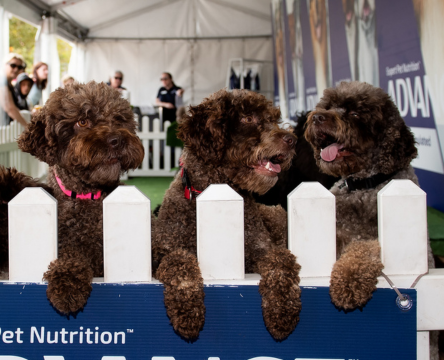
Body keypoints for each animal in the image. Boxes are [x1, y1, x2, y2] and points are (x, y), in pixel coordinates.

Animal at [153, 89, 302, 340]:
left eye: (272, 119)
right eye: (247, 118)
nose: (292, 140)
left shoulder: (260, 250)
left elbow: (281, 260)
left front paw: (282, 307)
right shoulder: (162, 252)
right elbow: (179, 260)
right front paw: (188, 307)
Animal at [306, 81, 434, 310]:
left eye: (356, 113)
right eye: (328, 106)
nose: (318, 117)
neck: (362, 185)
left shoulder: (374, 237)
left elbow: (364, 249)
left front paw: (348, 280)